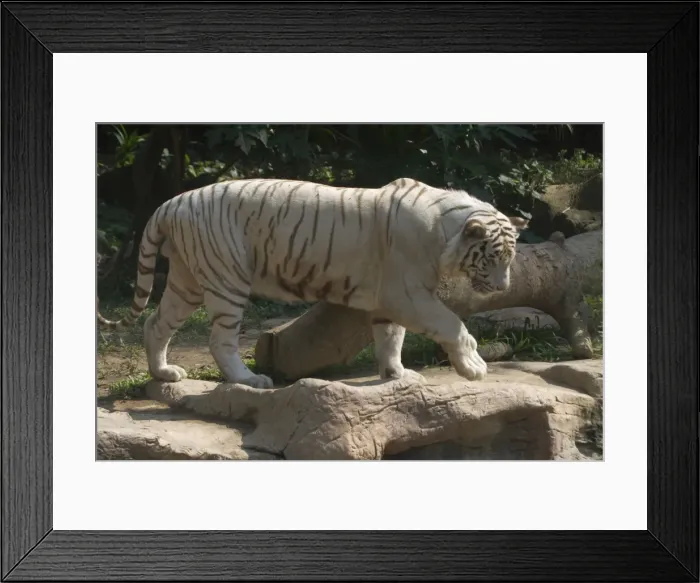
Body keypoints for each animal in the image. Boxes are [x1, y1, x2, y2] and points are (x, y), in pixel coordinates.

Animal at [97, 177, 528, 389]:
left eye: (510, 259)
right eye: (493, 258)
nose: (503, 288)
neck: (444, 232)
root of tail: (170, 203)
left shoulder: (389, 300)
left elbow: (391, 337)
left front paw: (397, 375)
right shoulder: (408, 294)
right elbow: (453, 325)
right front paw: (473, 367)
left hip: (186, 281)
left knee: (156, 324)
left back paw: (163, 374)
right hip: (226, 278)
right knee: (219, 341)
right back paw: (249, 380)